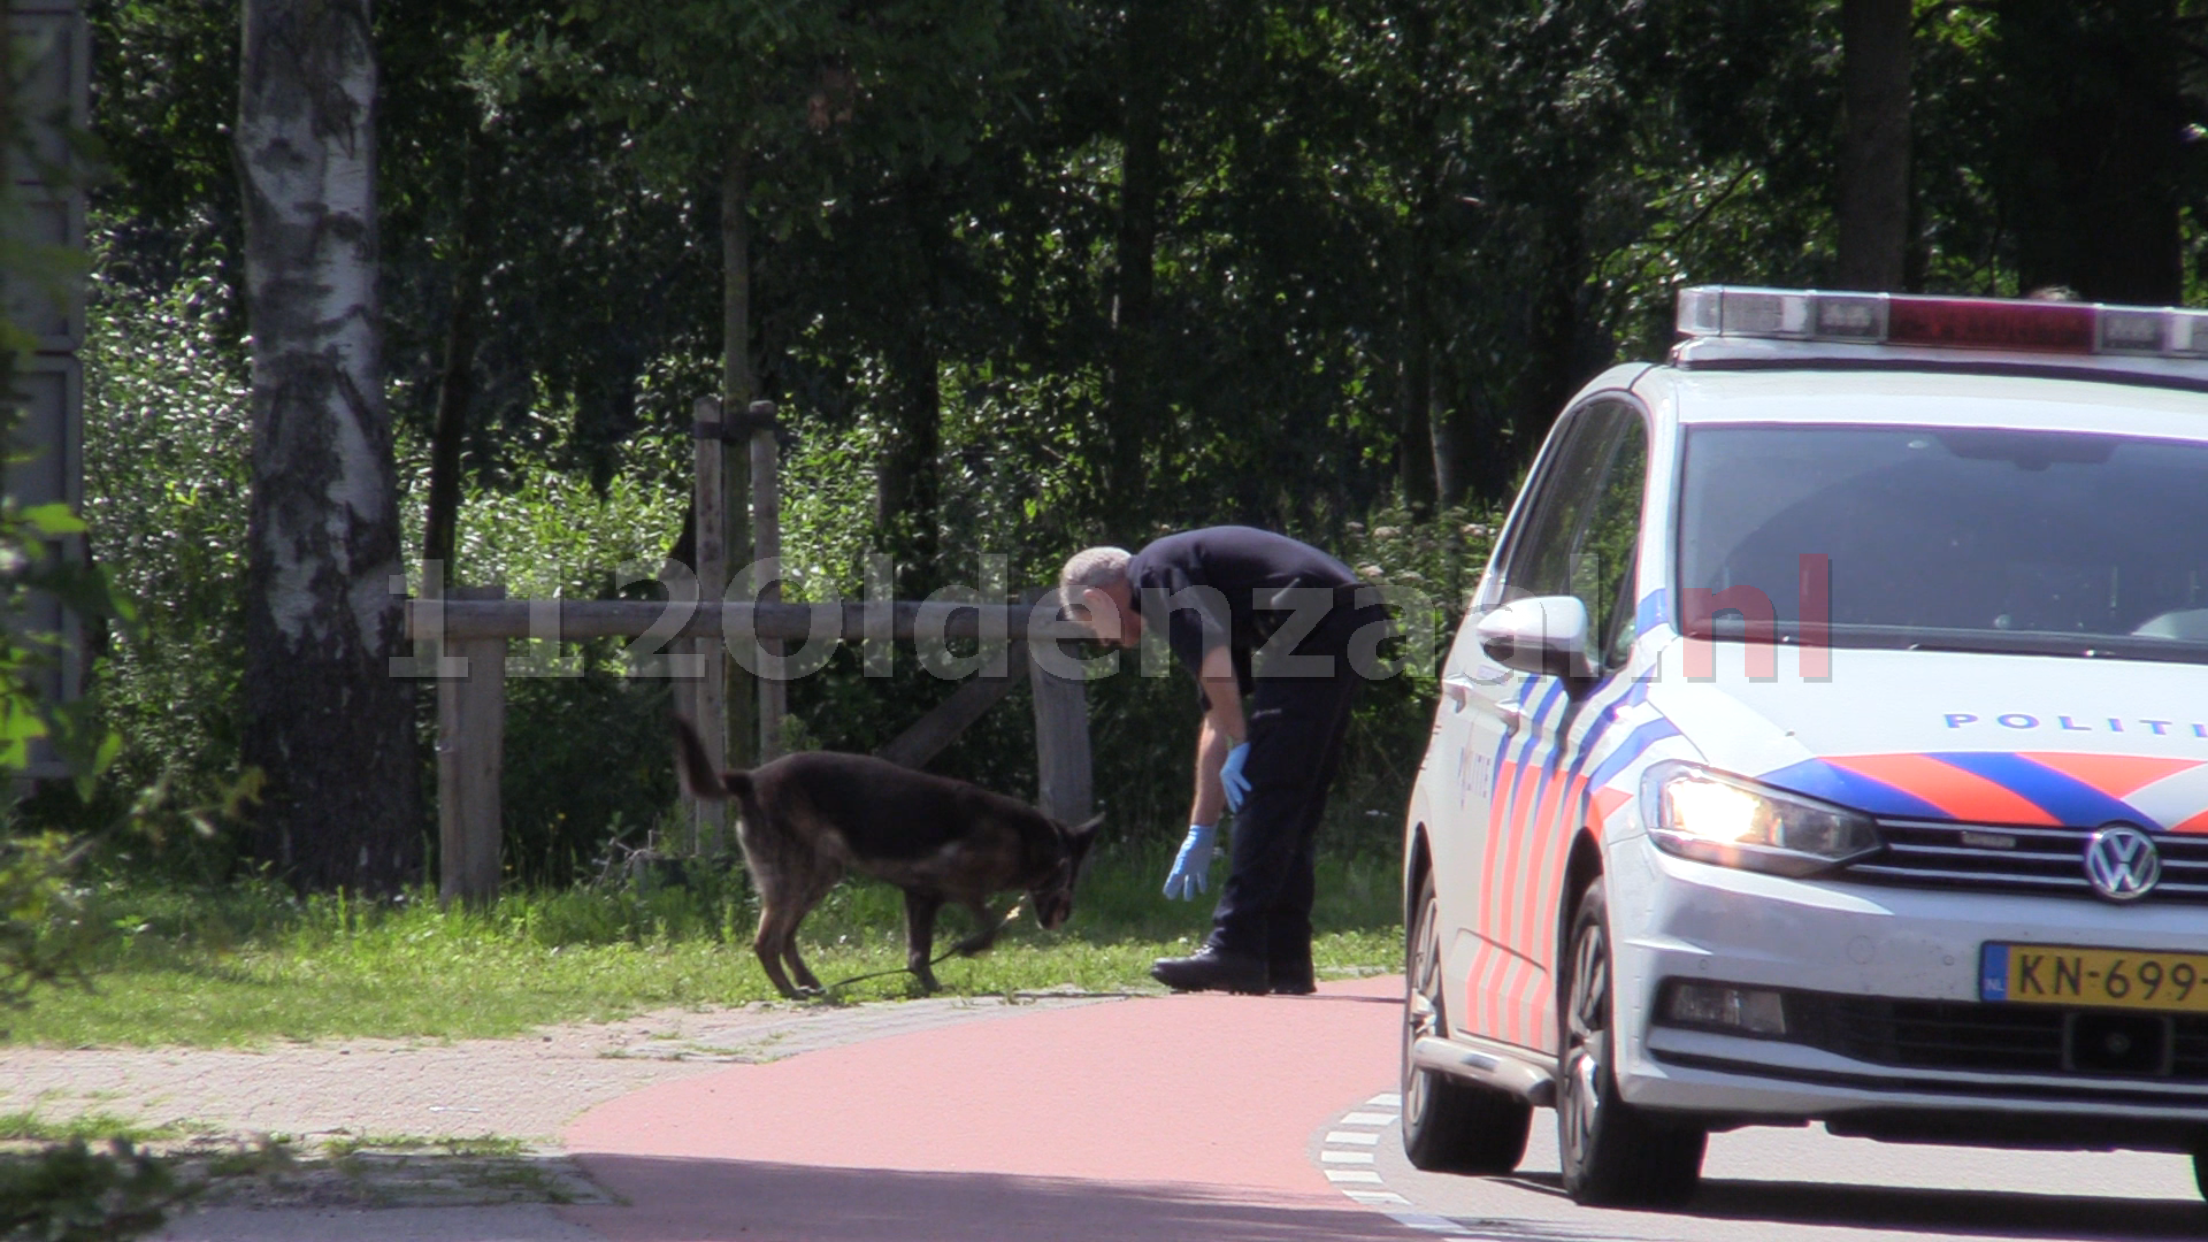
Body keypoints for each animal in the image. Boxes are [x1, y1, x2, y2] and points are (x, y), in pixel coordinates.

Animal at [662, 711, 1095, 990]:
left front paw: (927, 983)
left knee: (784, 938)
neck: (1035, 842)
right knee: (766, 941)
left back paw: (810, 984)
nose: (1067, 915)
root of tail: (749, 779)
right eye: (1071, 880)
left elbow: (919, 950)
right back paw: (790, 990)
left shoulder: (921, 896)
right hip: (795, 879)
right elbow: (991, 926)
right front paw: (968, 948)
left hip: (817, 880)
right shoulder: (959, 888)